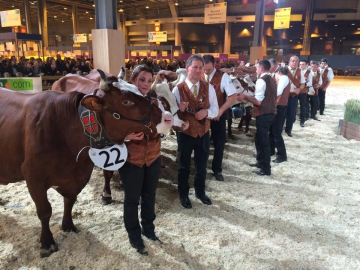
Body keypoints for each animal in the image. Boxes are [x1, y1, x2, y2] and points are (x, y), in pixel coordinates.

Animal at [0, 68, 173, 256]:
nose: (168, 118)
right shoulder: (33, 176)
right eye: (126, 101)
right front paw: (47, 243)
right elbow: (45, 211)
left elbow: (70, 200)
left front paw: (68, 225)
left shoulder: (78, 175)